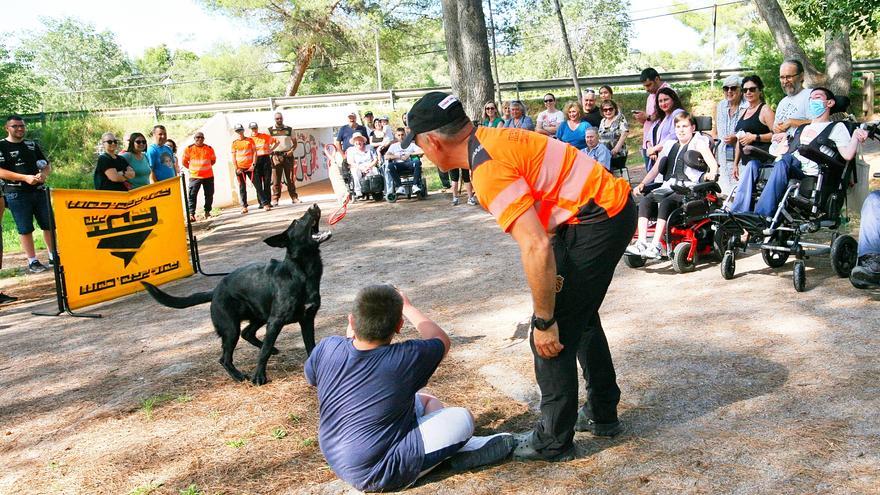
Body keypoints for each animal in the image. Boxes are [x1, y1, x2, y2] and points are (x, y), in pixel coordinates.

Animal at [144, 203, 330, 386]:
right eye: (297, 222)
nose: (314, 205)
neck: (302, 273)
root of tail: (216, 290)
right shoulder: (275, 322)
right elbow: (264, 352)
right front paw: (259, 377)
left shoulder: (307, 319)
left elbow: (311, 346)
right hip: (231, 328)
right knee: (225, 357)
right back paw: (238, 376)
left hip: (259, 316)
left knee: (247, 333)